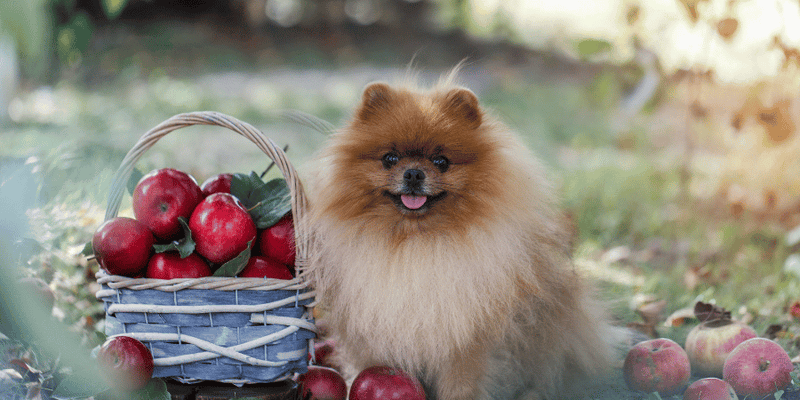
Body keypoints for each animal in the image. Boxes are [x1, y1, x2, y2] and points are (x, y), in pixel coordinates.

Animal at [306, 72, 624, 400]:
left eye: (441, 161)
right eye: (390, 158)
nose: (413, 174)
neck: (416, 245)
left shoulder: (468, 338)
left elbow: (461, 381)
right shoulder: (373, 329)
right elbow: (371, 364)